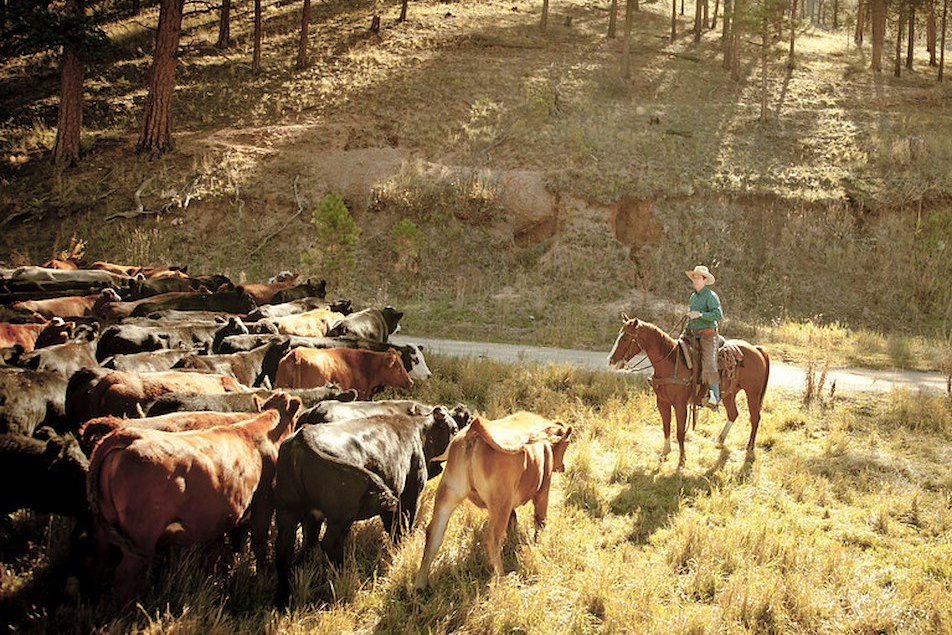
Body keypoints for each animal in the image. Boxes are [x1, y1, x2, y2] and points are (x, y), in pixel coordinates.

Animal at [87, 392, 302, 604]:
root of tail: (129, 436)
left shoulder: (218, 517)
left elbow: (217, 552)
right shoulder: (263, 505)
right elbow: (259, 543)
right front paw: (263, 576)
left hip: (102, 532)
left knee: (97, 564)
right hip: (141, 536)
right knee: (126, 578)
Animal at [273, 405, 470, 607]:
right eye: (454, 429)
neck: (419, 431)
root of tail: (302, 438)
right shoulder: (409, 494)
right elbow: (402, 527)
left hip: (287, 509)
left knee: (286, 547)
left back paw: (283, 599)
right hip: (341, 516)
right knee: (329, 544)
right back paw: (343, 578)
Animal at [412, 412, 573, 590]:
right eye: (567, 443)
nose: (563, 467)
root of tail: (474, 431)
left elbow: (513, 519)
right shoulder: (543, 491)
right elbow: (540, 521)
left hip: (448, 494)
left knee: (433, 534)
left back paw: (420, 585)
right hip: (500, 501)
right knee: (492, 539)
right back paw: (501, 578)